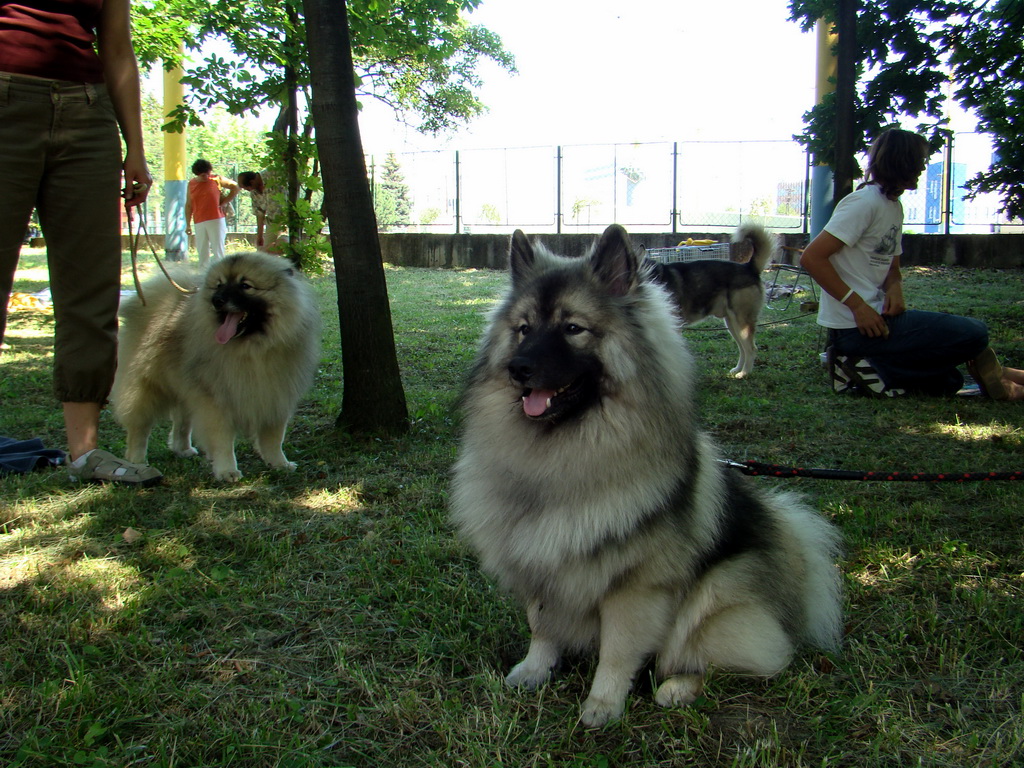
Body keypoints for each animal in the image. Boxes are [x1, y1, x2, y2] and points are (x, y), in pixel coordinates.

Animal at [111, 250, 319, 481]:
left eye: (245, 285)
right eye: (219, 285)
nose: (216, 300)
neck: (252, 350)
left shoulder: (275, 396)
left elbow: (273, 438)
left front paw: (279, 463)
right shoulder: (216, 401)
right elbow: (222, 441)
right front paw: (227, 470)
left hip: (186, 386)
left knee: (182, 421)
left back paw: (182, 449)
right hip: (145, 388)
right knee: (139, 427)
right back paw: (137, 460)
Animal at [452, 225, 843, 729]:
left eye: (573, 328)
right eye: (523, 329)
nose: (518, 367)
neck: (563, 452)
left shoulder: (634, 586)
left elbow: (618, 651)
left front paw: (602, 705)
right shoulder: (541, 562)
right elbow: (542, 626)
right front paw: (535, 670)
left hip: (714, 601)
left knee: (741, 660)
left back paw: (676, 688)